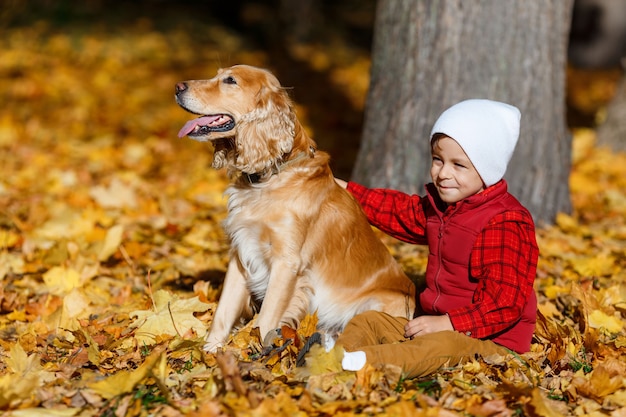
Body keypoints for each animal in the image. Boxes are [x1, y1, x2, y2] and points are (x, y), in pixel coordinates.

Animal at [174, 66, 414, 352]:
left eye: (230, 81)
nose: (178, 87)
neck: (270, 177)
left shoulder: (286, 262)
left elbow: (266, 318)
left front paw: (259, 354)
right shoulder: (241, 253)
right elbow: (223, 311)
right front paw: (210, 354)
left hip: (375, 304)